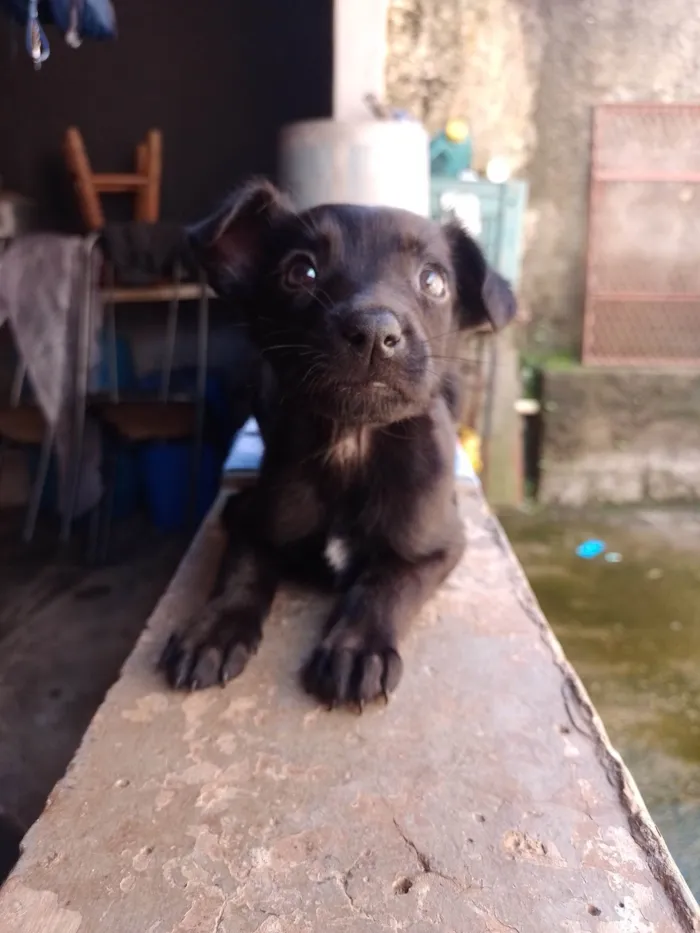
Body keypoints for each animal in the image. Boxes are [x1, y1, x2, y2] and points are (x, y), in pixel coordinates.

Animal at [161, 180, 516, 708]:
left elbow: (384, 584)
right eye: (300, 271)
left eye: (433, 281)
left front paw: (357, 648)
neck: (354, 441)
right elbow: (241, 570)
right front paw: (214, 629)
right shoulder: (253, 519)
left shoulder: (437, 546)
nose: (374, 332)